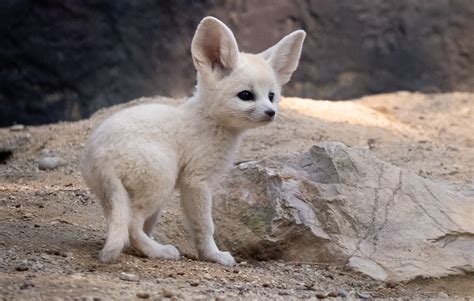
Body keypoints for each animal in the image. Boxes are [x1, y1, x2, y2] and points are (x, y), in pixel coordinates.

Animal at [81, 17, 306, 264]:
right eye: (246, 95)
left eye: (271, 96)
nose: (271, 112)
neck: (207, 119)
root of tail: (100, 155)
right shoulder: (196, 181)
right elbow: (205, 226)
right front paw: (213, 255)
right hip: (162, 182)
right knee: (132, 224)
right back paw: (160, 251)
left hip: (124, 197)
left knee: (123, 225)